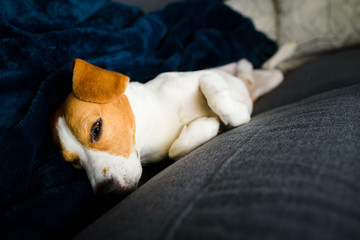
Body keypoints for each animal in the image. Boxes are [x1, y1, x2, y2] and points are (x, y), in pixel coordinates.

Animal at [51, 44, 296, 196]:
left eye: (96, 128)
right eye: (74, 164)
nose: (106, 192)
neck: (153, 125)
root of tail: (250, 81)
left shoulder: (203, 77)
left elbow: (215, 94)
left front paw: (234, 115)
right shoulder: (163, 151)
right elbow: (175, 151)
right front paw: (208, 126)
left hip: (261, 74)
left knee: (254, 66)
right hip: (272, 77)